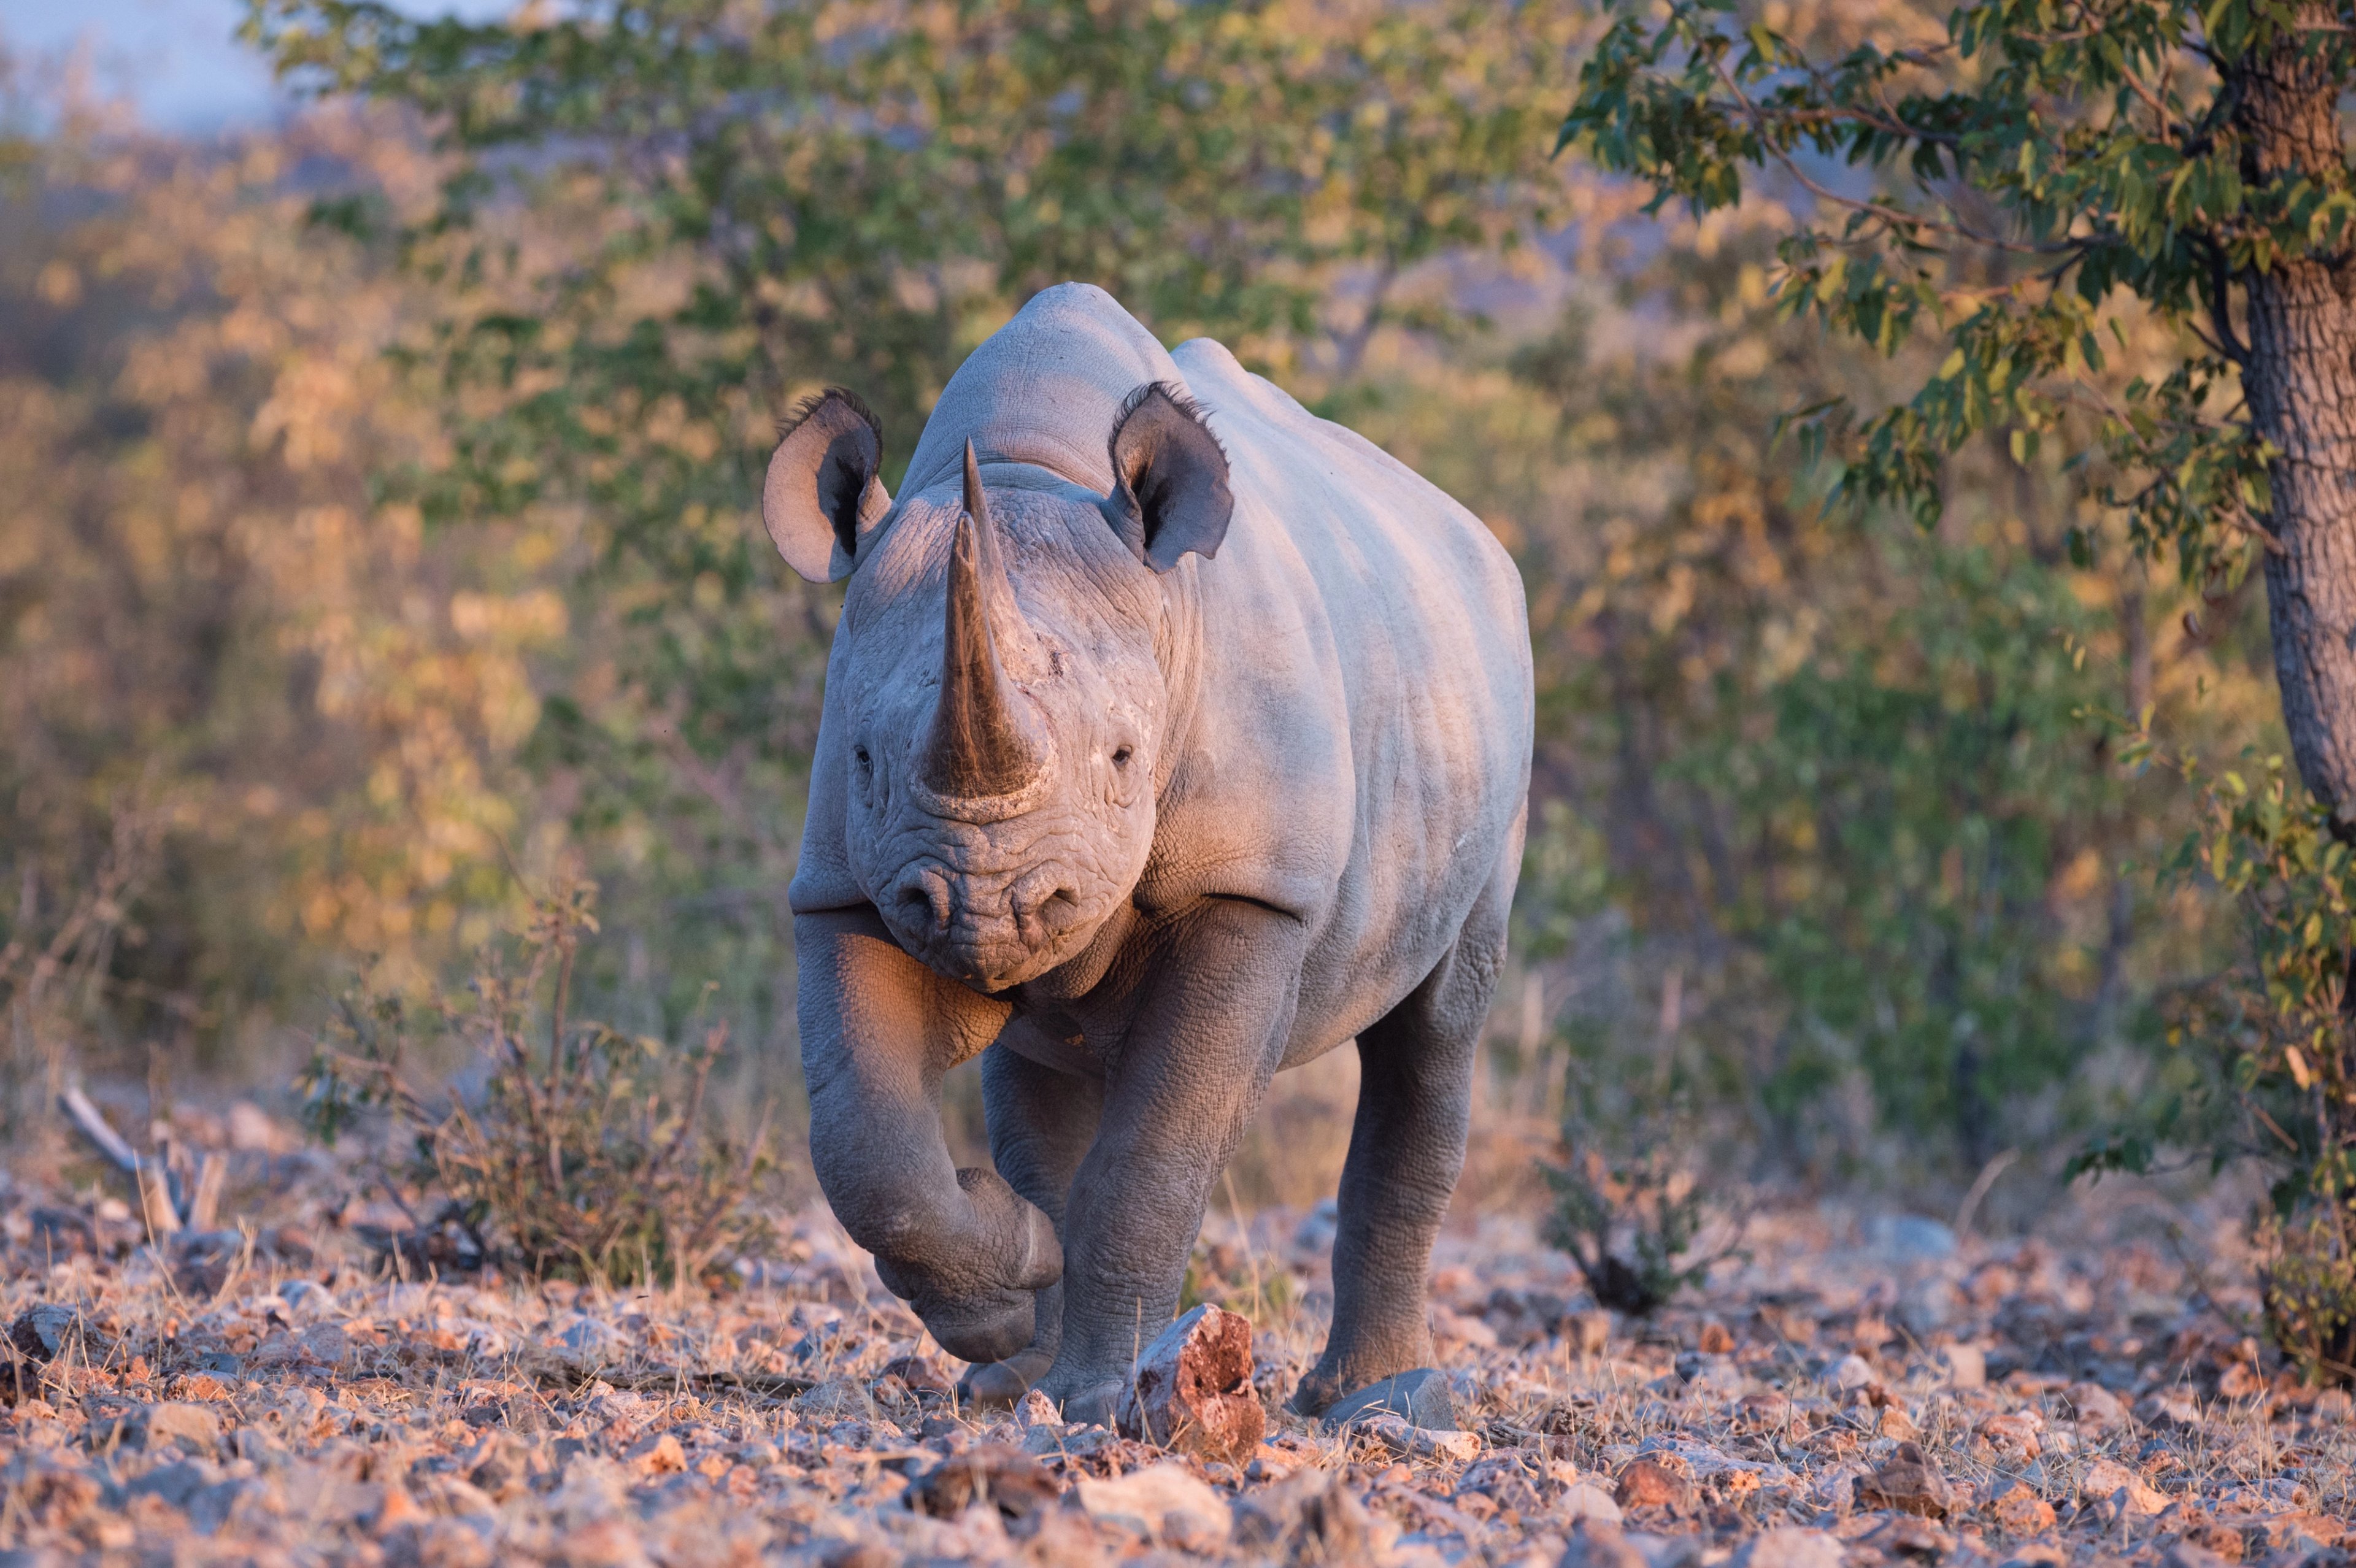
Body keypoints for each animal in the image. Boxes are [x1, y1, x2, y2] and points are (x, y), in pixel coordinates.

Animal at [761, 283, 1531, 1423]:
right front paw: (1011, 1291)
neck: (1033, 471)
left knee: (1435, 1027)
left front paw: (1094, 1400)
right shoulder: (848, 887)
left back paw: (1368, 1400)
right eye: (862, 758)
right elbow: (865, 1142)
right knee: (1036, 1079)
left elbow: (1156, 1156)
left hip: (1487, 719)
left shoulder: (1252, 891)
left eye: (1125, 756)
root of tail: (1479, 539)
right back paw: (1014, 1375)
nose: (989, 908)